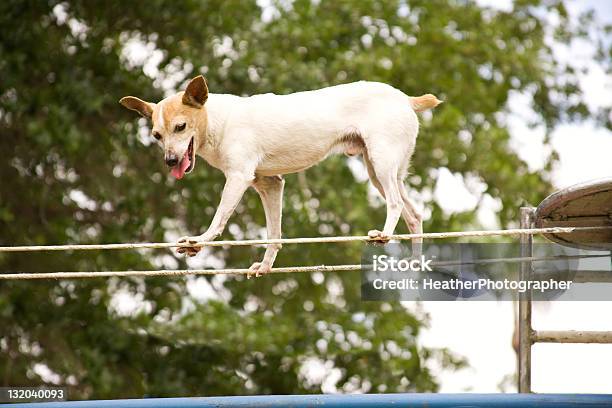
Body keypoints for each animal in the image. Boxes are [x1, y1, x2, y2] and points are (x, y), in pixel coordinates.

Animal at [120, 75, 440, 276]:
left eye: (181, 127)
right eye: (156, 135)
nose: (170, 161)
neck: (217, 121)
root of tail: (406, 99)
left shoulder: (239, 177)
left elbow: (219, 218)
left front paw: (199, 241)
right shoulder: (269, 184)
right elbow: (274, 234)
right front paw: (265, 266)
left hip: (381, 161)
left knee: (396, 204)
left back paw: (384, 235)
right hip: (380, 170)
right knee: (414, 215)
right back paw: (414, 263)